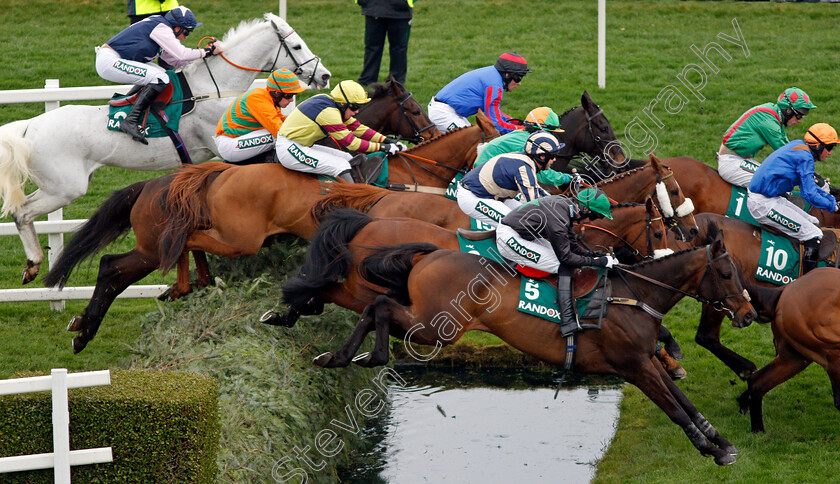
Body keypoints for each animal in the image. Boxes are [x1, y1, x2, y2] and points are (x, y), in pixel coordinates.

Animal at [0, 13, 334, 284]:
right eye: (298, 47)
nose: (325, 75)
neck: (214, 87)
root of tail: (30, 127)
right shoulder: (223, 146)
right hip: (66, 188)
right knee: (21, 212)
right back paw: (34, 262)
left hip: (55, 186)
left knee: (22, 210)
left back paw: (32, 265)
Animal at [308, 225, 756, 464]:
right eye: (726, 273)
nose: (749, 314)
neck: (634, 297)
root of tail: (430, 255)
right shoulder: (635, 366)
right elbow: (675, 409)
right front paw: (711, 449)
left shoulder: (646, 361)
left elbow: (686, 402)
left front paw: (721, 442)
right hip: (436, 329)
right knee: (380, 306)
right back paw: (368, 354)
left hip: (428, 321)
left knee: (375, 306)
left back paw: (337, 356)